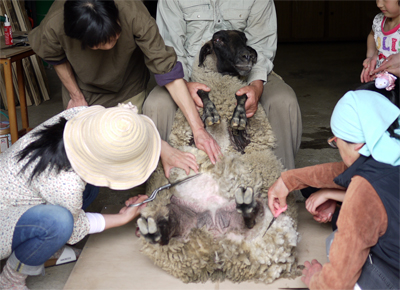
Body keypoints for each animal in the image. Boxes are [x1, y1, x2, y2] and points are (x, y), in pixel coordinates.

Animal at [138, 30, 300, 284]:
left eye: (244, 38)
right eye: (218, 40)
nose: (249, 55)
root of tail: (217, 244)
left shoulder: (245, 138)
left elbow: (242, 101)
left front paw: (239, 116)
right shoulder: (192, 133)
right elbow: (200, 93)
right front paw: (210, 112)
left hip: (271, 216)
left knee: (252, 219)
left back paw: (246, 205)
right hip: (176, 213)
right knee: (169, 230)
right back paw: (154, 230)